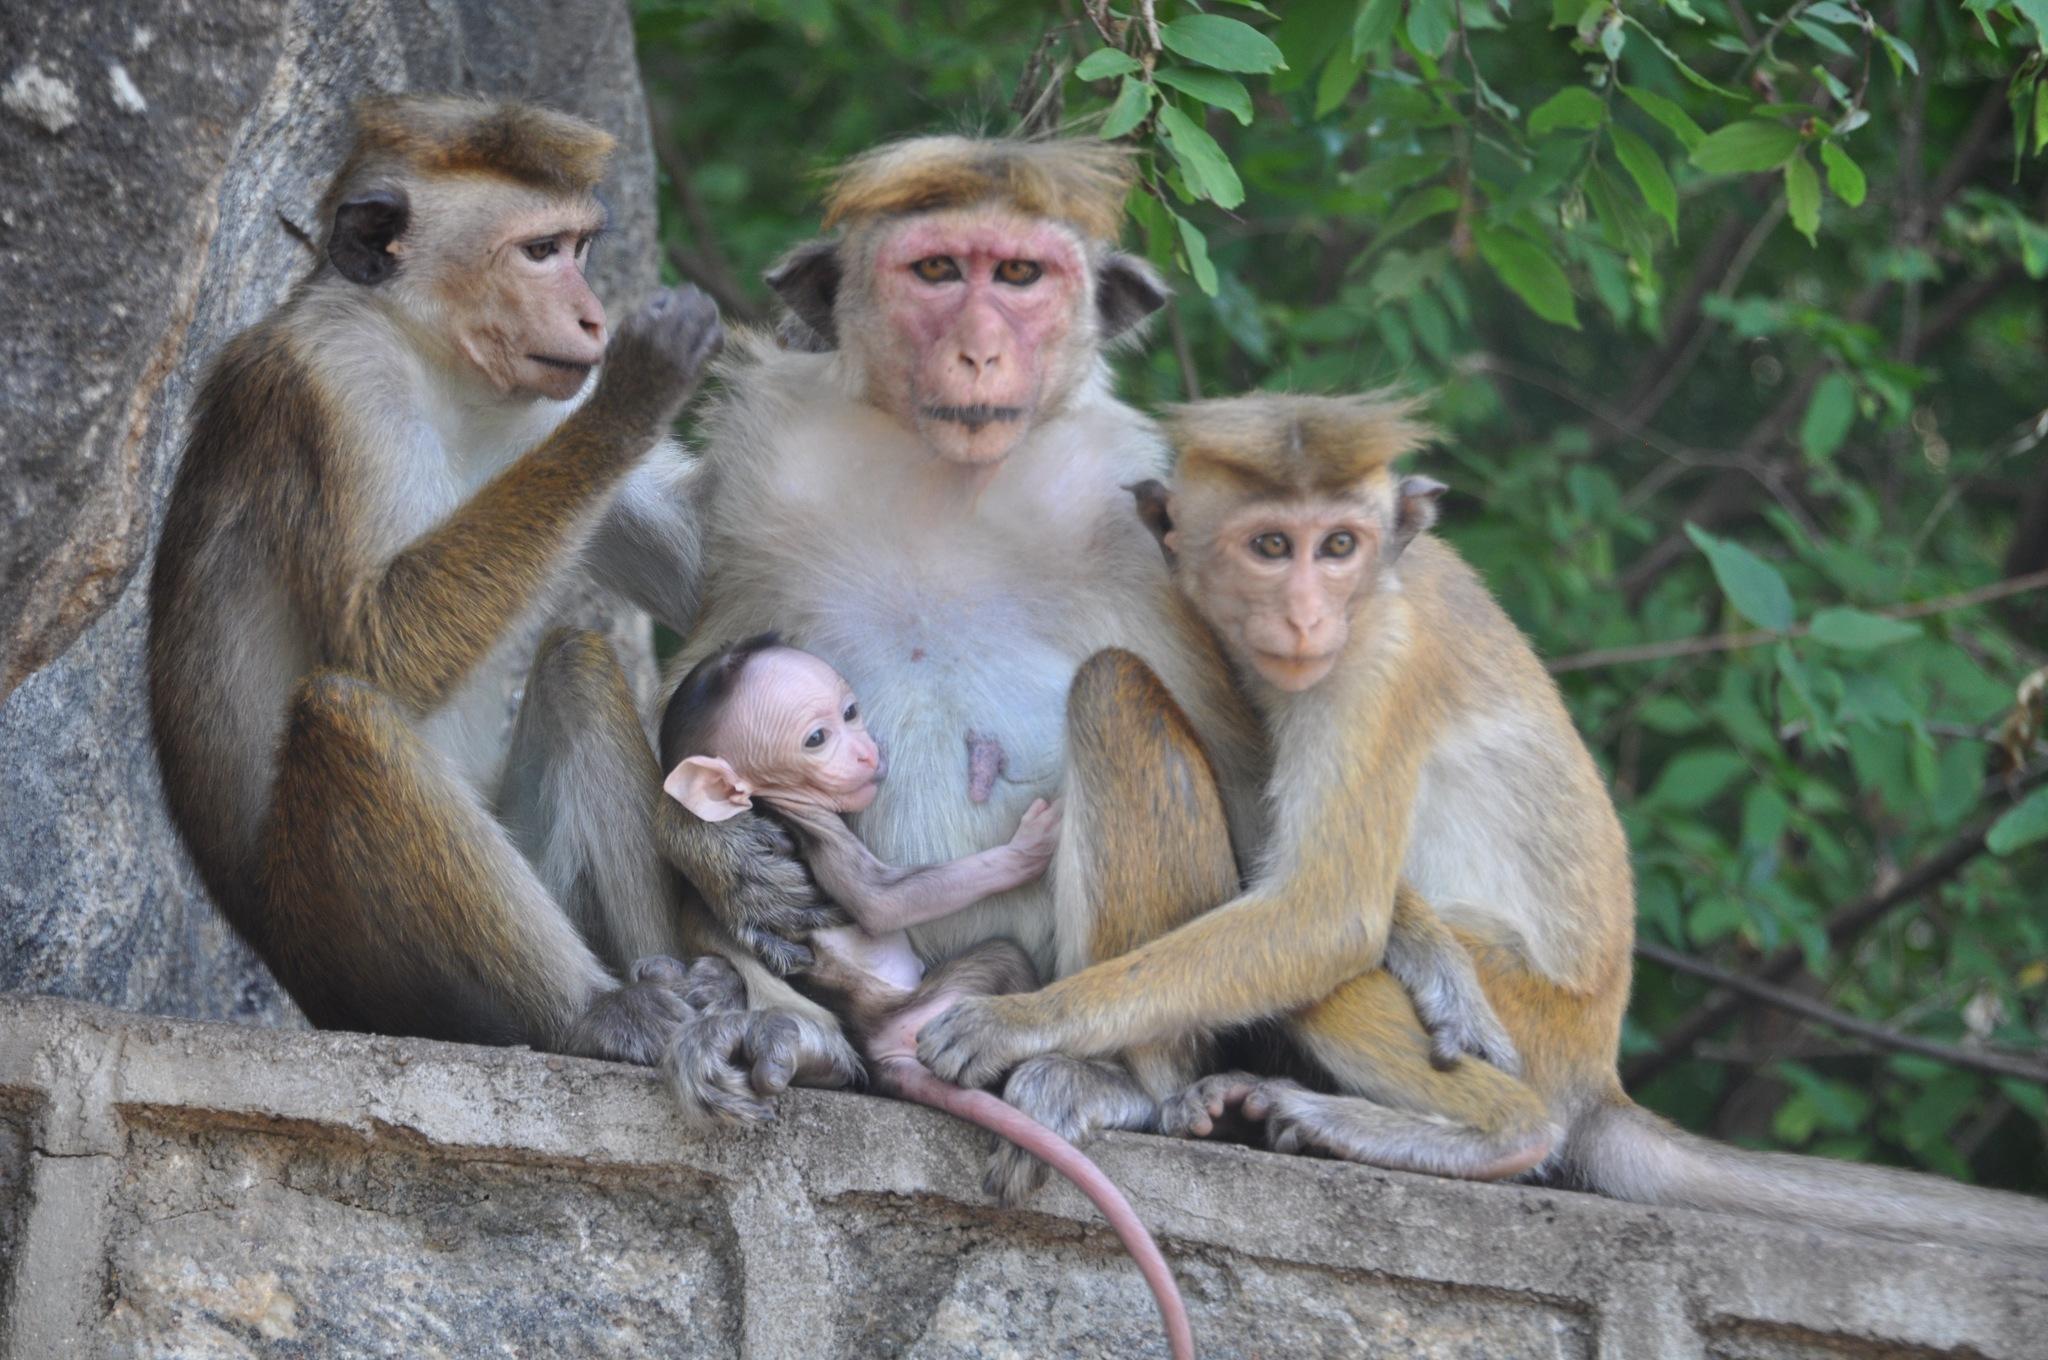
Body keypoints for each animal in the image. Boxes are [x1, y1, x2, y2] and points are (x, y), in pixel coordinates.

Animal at [140, 95, 861, 1080]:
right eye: (539, 251)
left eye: (580, 247)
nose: (592, 318)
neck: (434, 357)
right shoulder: (333, 381)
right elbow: (378, 639)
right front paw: (639, 387)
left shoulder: (546, 399)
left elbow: (713, 568)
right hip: (362, 966)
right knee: (345, 714)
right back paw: (593, 1014)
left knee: (578, 666)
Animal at [652, 636, 1193, 1359]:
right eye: (817, 738)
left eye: (850, 712)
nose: (866, 751)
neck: (770, 801)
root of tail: (879, 1043)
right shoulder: (812, 822)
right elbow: (884, 902)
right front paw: (1029, 848)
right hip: (929, 1008)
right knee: (999, 961)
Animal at [910, 392, 2048, 1255]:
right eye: (1270, 545)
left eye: (1338, 546)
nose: (1305, 613)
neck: (1378, 590)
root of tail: (1596, 1070)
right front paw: (1424, 949)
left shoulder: (1374, 661)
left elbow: (1325, 913)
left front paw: (1020, 1021)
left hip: (1535, 1025)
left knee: (1332, 980)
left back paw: (1492, 1136)